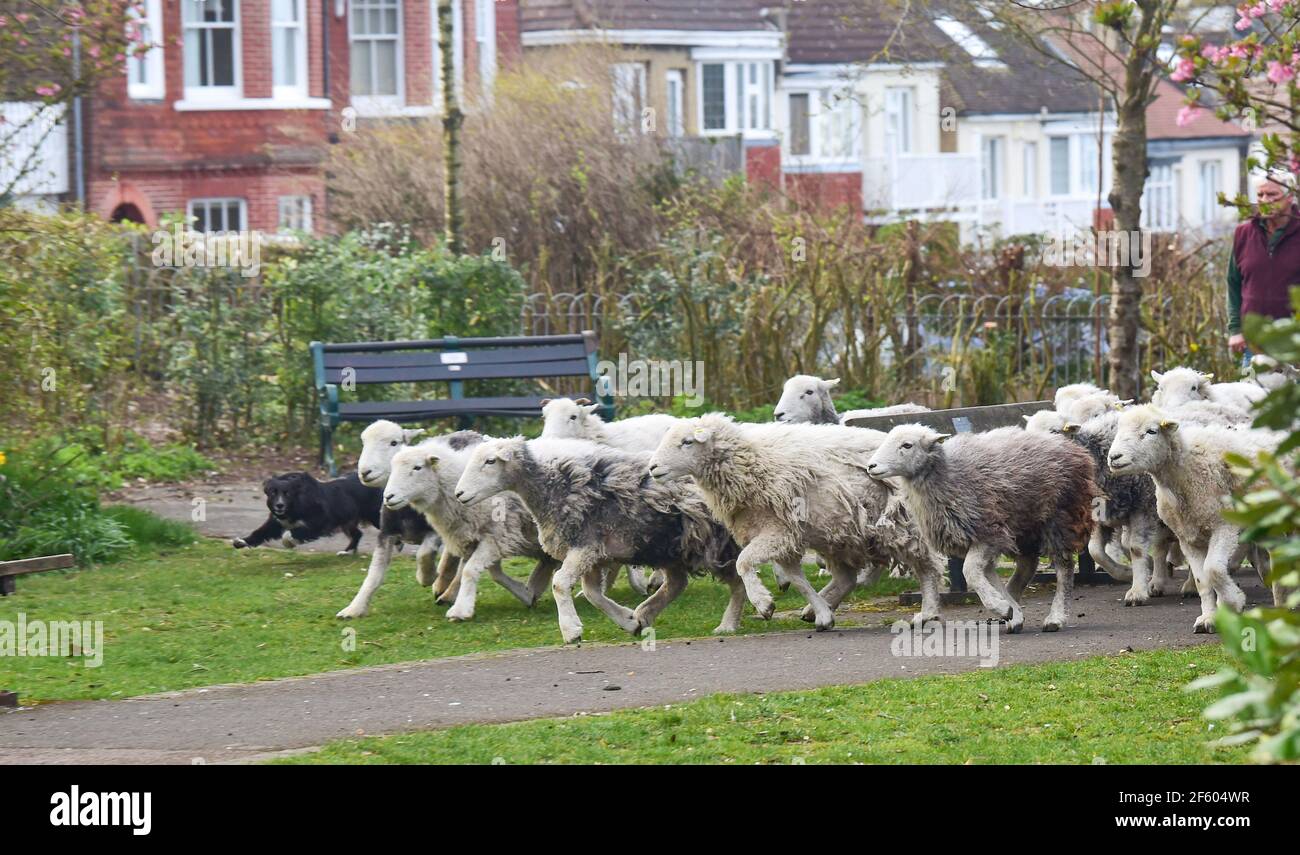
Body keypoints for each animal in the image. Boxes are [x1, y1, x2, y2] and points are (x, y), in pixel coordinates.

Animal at [863, 423, 1097, 628]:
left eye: (907, 445)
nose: (871, 466)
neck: (949, 475)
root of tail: (1070, 446)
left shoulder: (988, 531)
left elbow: (970, 571)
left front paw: (1001, 607)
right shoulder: (981, 537)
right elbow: (985, 574)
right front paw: (1009, 610)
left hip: (1060, 516)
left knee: (1064, 567)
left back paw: (1056, 617)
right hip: (1024, 526)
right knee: (1027, 564)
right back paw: (1015, 608)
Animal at [1107, 402, 1279, 628]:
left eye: (1151, 431)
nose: (1113, 457)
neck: (1188, 470)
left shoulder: (1224, 527)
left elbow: (1213, 570)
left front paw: (1233, 602)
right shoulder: (1187, 537)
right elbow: (1202, 581)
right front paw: (1209, 618)